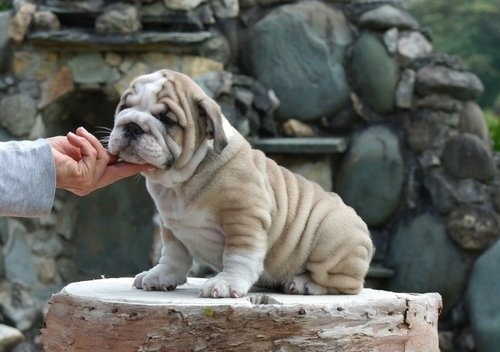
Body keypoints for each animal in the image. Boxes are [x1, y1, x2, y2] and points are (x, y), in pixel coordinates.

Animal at [109, 69, 376, 296]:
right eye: (124, 107)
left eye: (166, 119)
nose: (131, 125)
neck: (180, 183)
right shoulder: (171, 226)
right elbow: (174, 254)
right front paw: (161, 276)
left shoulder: (244, 217)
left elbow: (239, 255)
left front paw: (226, 284)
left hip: (331, 238)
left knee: (345, 284)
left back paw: (303, 283)